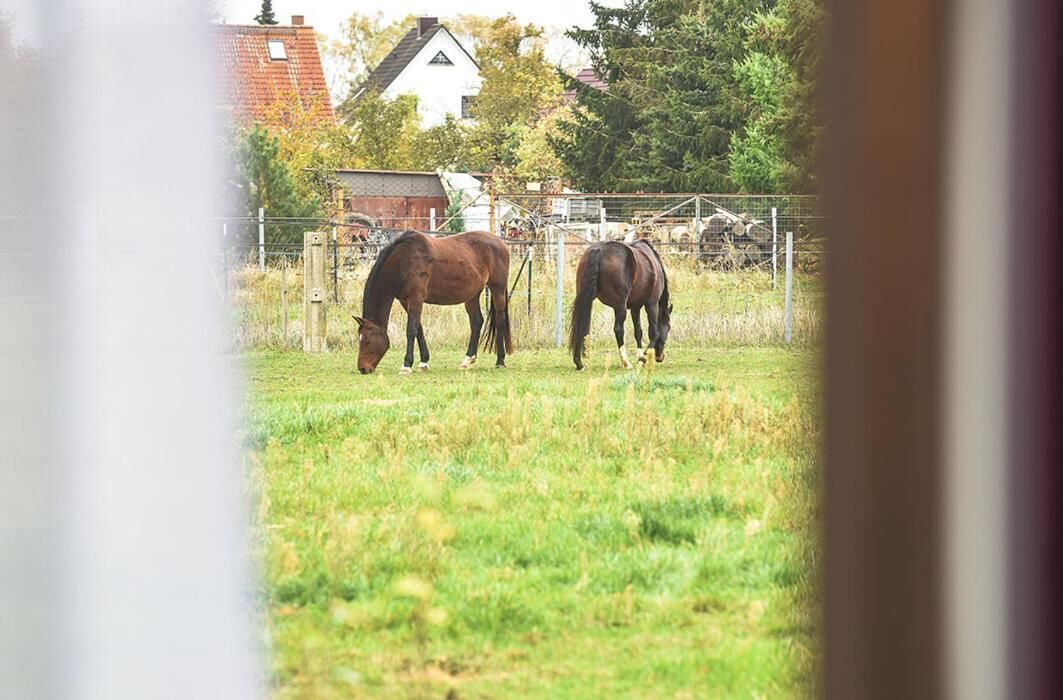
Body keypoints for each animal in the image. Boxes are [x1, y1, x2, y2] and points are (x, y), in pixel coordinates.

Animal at [353, 230, 513, 374]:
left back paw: (500, 361)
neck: (403, 261)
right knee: (476, 321)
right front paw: (423, 362)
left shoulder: (416, 297)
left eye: (366, 341)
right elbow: (419, 329)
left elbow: (411, 330)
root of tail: (501, 243)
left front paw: (406, 365)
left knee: (500, 320)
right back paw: (467, 360)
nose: (362, 368)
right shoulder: (406, 300)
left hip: (497, 289)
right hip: (473, 294)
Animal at [568, 239, 672, 371]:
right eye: (668, 328)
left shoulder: (635, 307)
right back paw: (626, 362)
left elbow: (638, 331)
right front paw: (643, 358)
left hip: (585, 299)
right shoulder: (652, 304)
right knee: (618, 330)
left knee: (580, 327)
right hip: (621, 307)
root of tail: (599, 249)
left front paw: (639, 356)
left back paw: (579, 362)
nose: (660, 357)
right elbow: (654, 332)